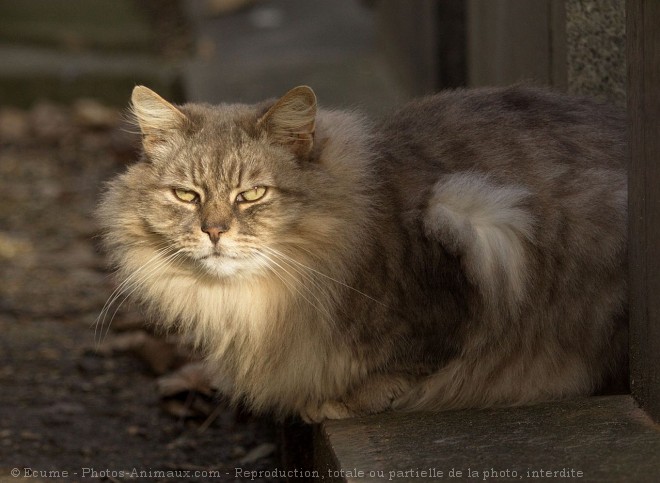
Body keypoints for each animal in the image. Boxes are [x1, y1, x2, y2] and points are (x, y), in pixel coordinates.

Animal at [95, 84, 628, 424]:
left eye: (252, 194)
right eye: (187, 196)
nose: (214, 231)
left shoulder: (475, 225)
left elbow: (413, 359)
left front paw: (341, 402)